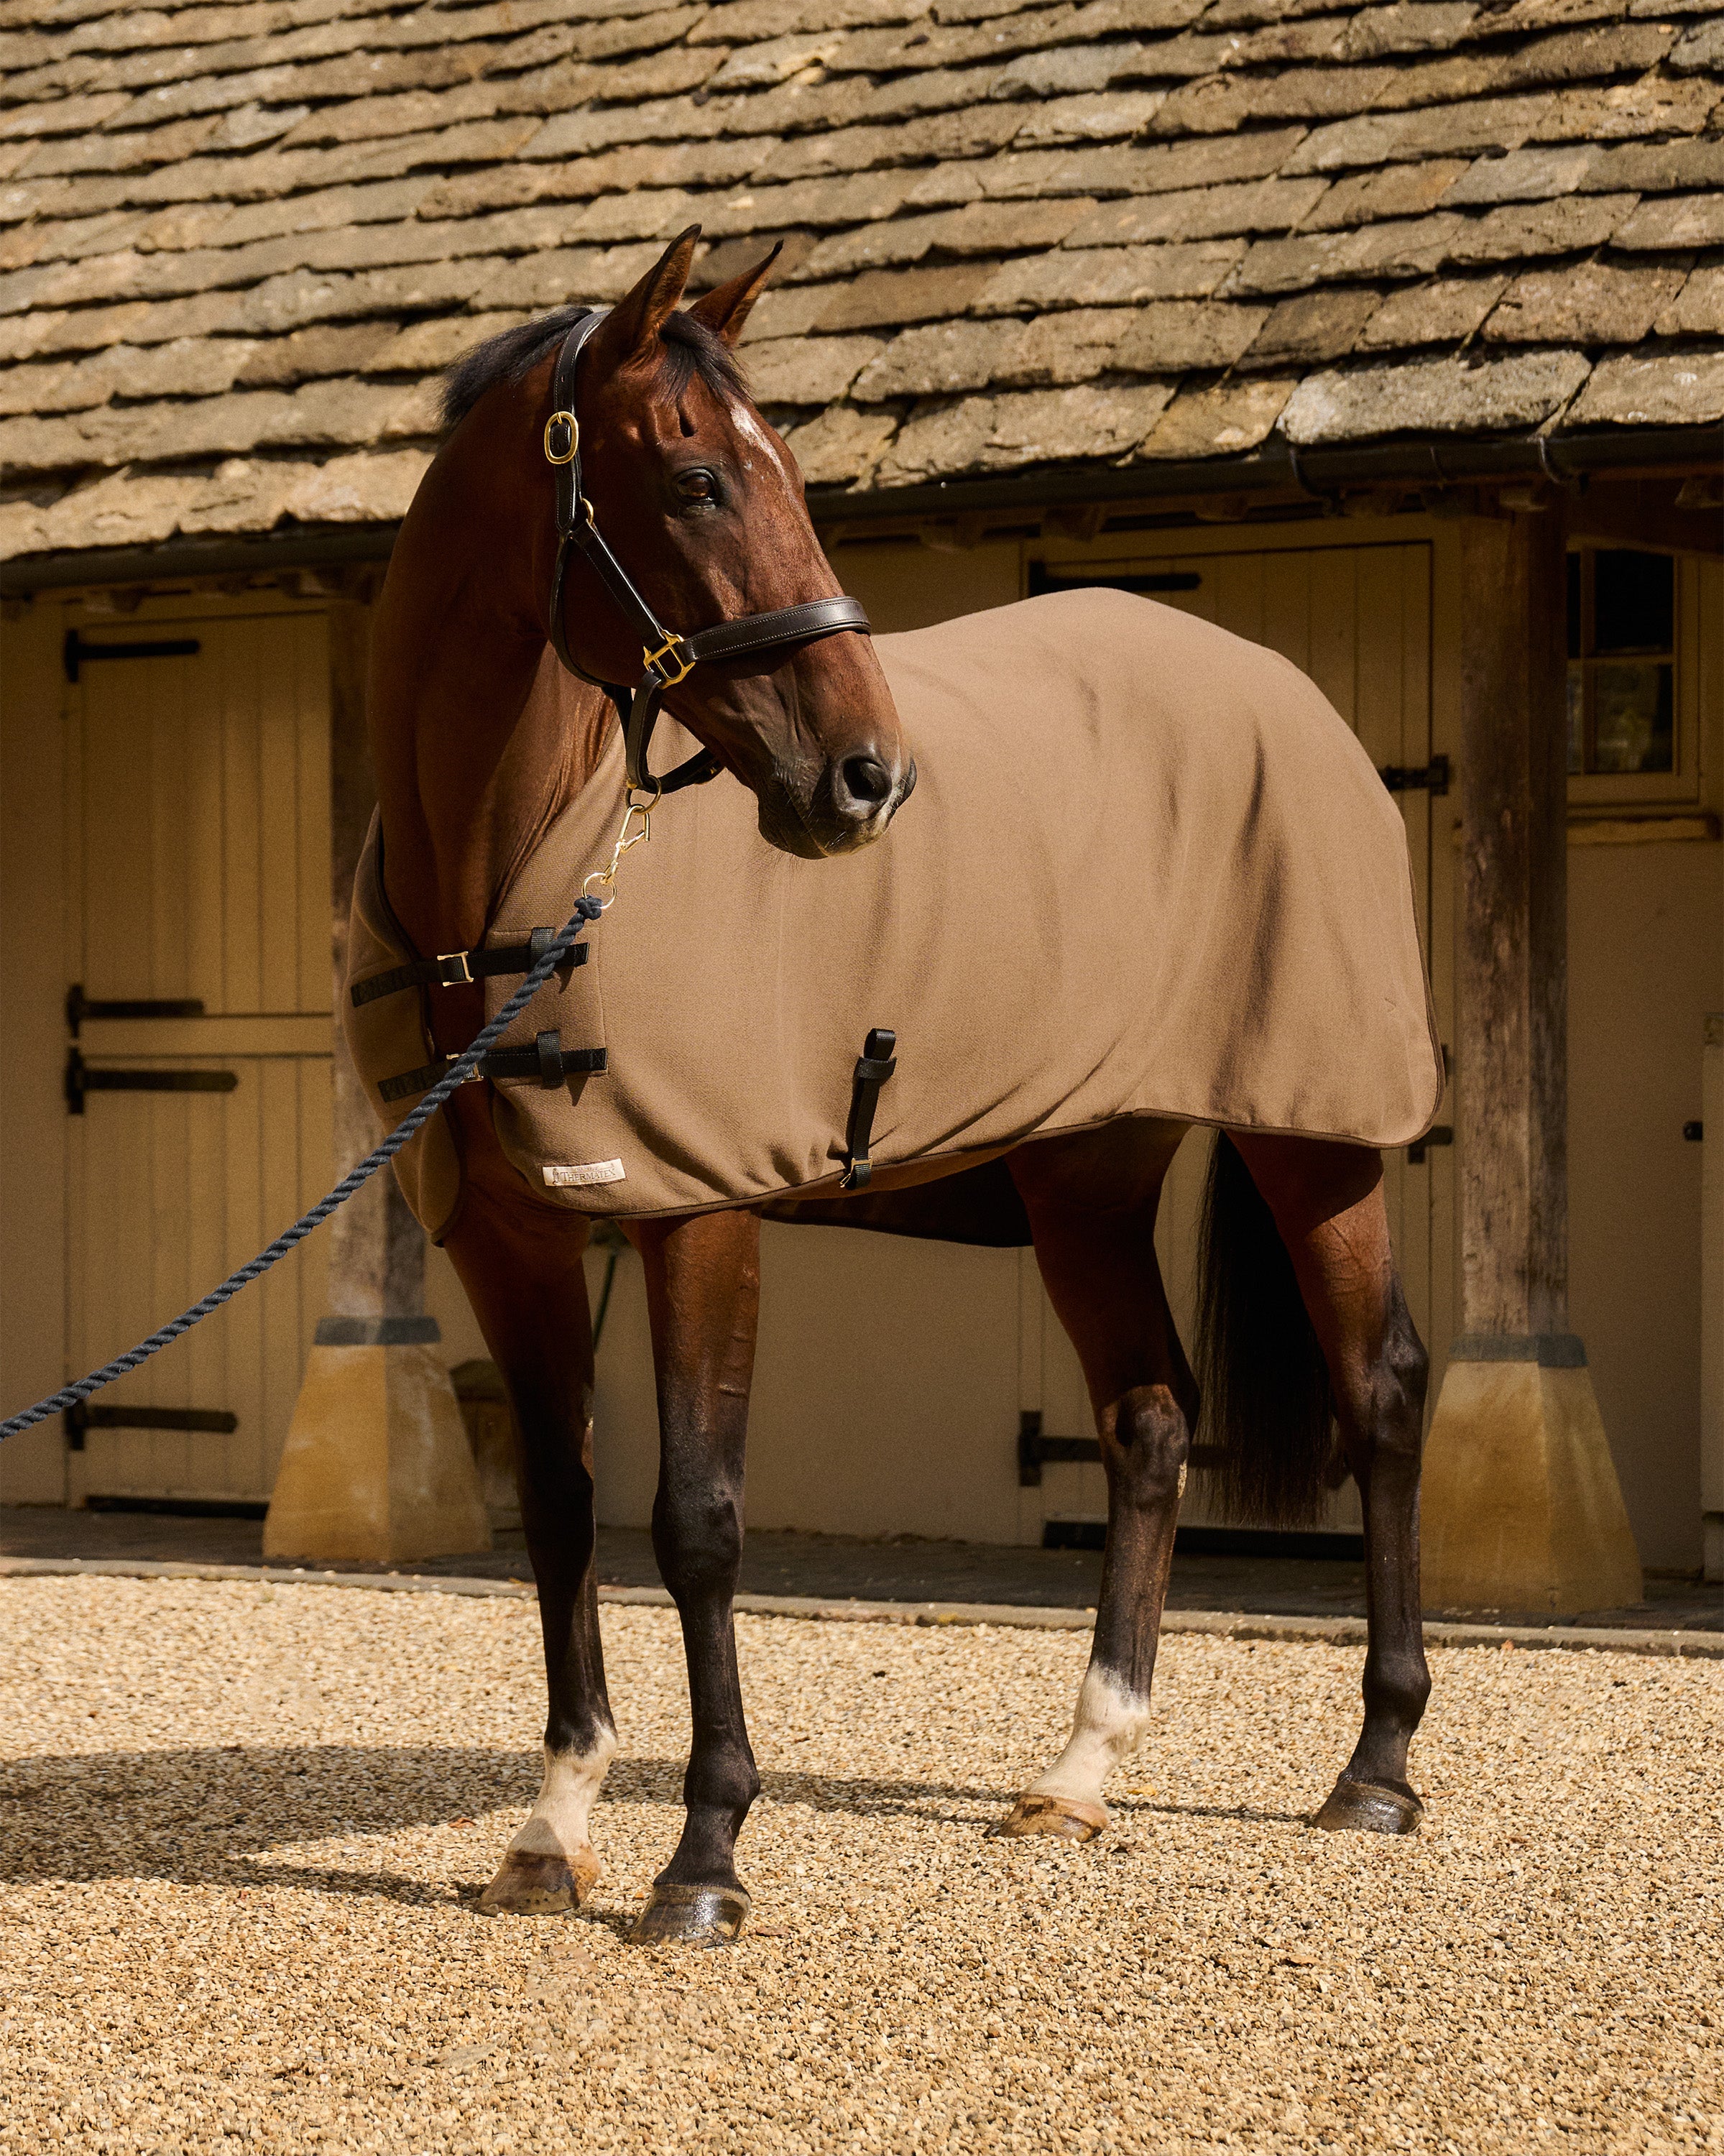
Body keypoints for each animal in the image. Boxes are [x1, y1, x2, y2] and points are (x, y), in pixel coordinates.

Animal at [361, 226, 1436, 1946]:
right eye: (694, 484)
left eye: (790, 473)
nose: (867, 780)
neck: (518, 869)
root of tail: (1287, 692)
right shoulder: (505, 1237)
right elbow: (559, 1510)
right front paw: (552, 1829)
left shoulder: (697, 1213)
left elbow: (697, 1519)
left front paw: (703, 1858)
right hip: (1082, 1177)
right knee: (1146, 1418)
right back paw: (1077, 1775)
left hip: (1310, 1137)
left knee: (1378, 1393)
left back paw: (1376, 1769)